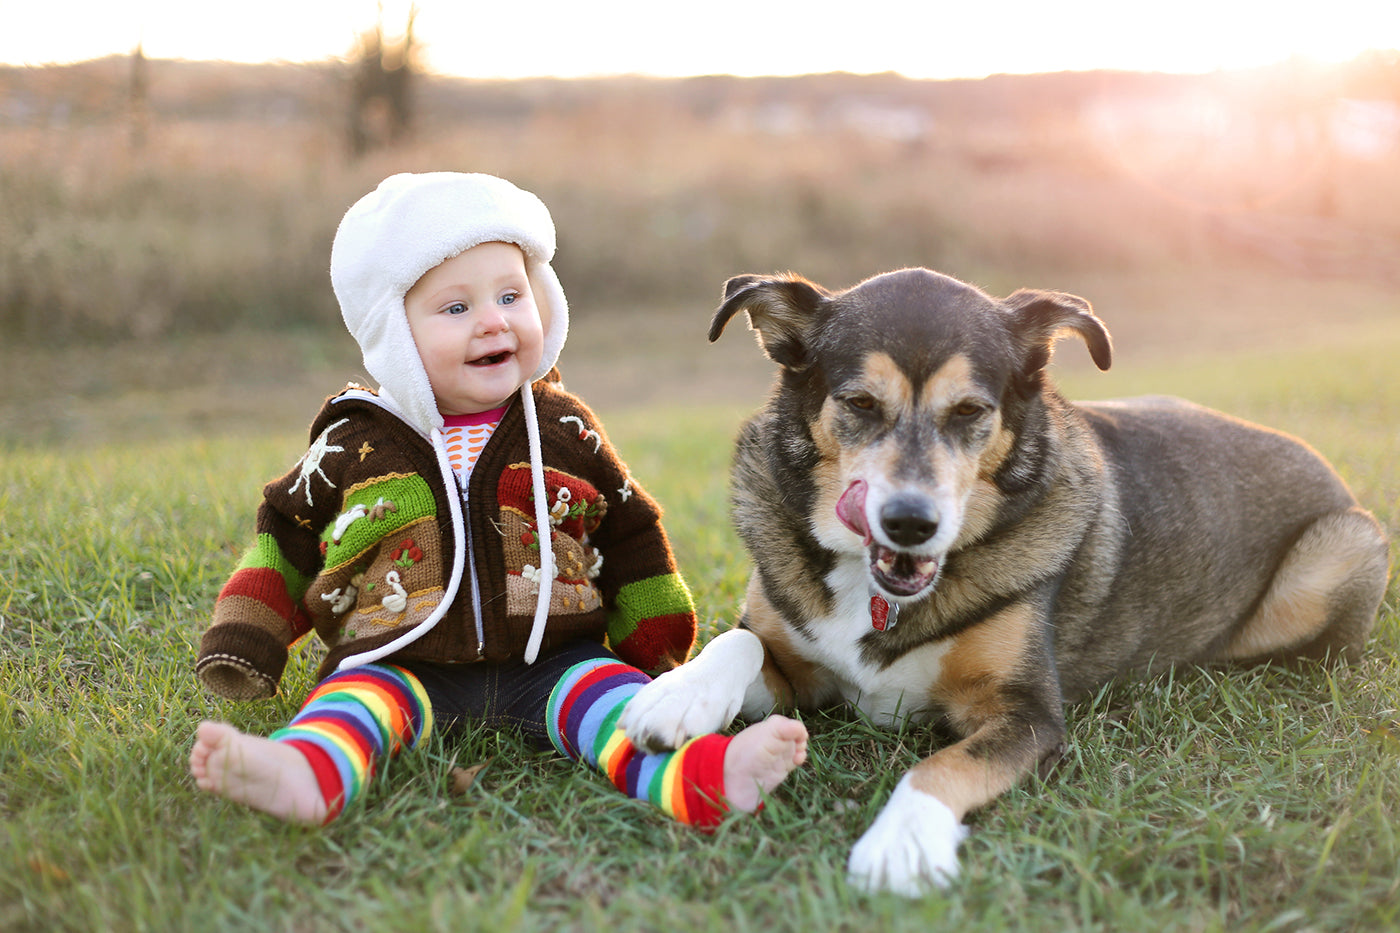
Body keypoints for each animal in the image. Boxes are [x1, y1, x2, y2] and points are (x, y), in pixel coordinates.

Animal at [624, 264, 1388, 890]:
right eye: (860, 403)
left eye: (970, 411)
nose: (910, 522)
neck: (879, 598)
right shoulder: (799, 670)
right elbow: (742, 639)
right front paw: (677, 695)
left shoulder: (1027, 714)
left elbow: (943, 765)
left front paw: (902, 843)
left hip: (1340, 550)